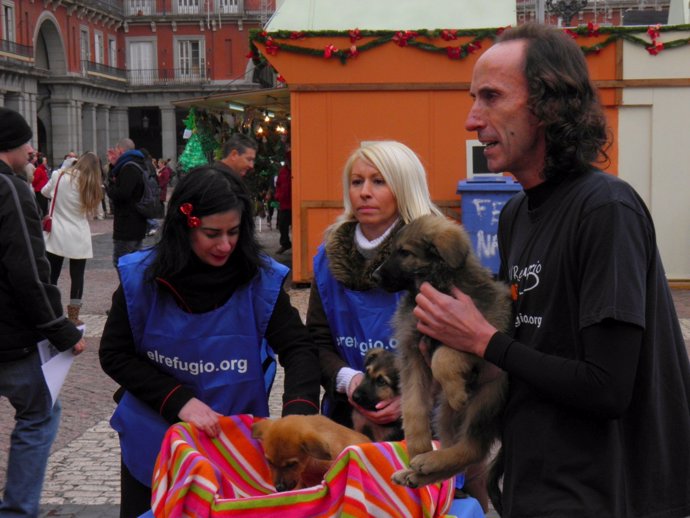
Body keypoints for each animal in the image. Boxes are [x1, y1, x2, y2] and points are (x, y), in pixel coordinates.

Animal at [370, 214, 510, 508]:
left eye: (405, 252)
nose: (374, 276)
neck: (436, 283)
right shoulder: (412, 354)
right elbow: (412, 406)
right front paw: (416, 446)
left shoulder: (481, 329)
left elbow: (443, 357)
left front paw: (457, 391)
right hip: (445, 415)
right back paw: (419, 468)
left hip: (487, 399)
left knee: (472, 449)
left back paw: (430, 460)